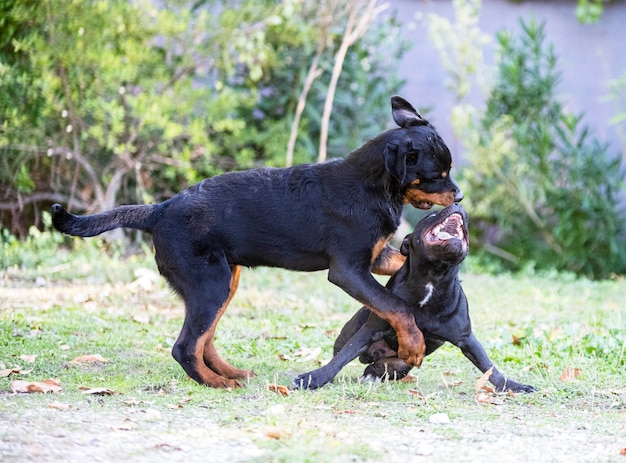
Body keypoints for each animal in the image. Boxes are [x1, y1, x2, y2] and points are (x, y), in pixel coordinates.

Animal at [50, 96, 464, 390]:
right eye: (436, 175)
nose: (458, 196)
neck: (372, 186)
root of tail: (159, 210)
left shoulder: (375, 258)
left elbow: (400, 274)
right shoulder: (348, 270)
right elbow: (396, 306)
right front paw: (412, 345)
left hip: (221, 281)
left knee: (203, 340)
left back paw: (230, 374)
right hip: (210, 282)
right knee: (186, 345)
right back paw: (218, 384)